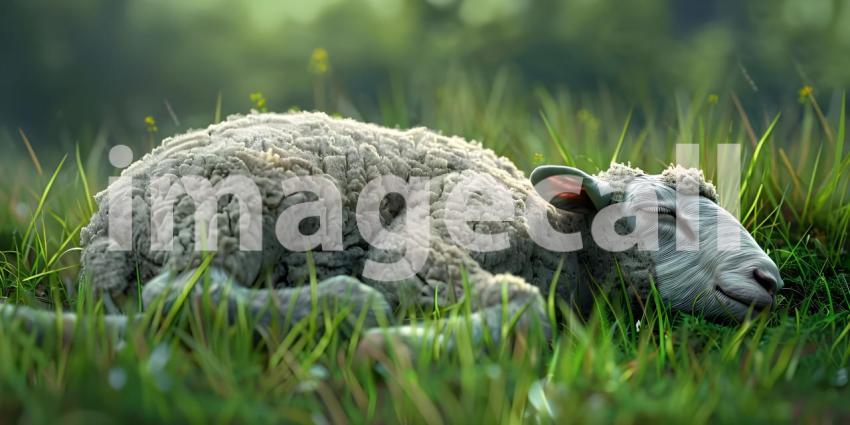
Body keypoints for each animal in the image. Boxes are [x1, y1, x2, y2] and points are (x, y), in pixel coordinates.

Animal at [2, 112, 783, 347]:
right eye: (662, 215)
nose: (771, 279)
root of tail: (103, 227)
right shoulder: (433, 238)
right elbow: (522, 309)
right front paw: (401, 344)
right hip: (226, 212)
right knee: (182, 295)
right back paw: (345, 307)